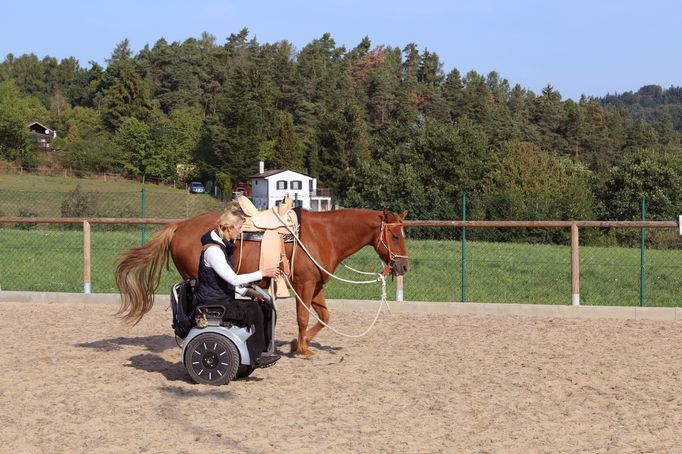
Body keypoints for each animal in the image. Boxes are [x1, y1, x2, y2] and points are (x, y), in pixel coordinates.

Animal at [114, 208, 406, 354]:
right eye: (394, 236)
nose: (403, 265)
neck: (324, 235)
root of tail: (179, 226)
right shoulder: (303, 285)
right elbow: (303, 317)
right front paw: (302, 349)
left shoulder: (316, 286)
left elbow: (324, 317)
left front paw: (297, 344)